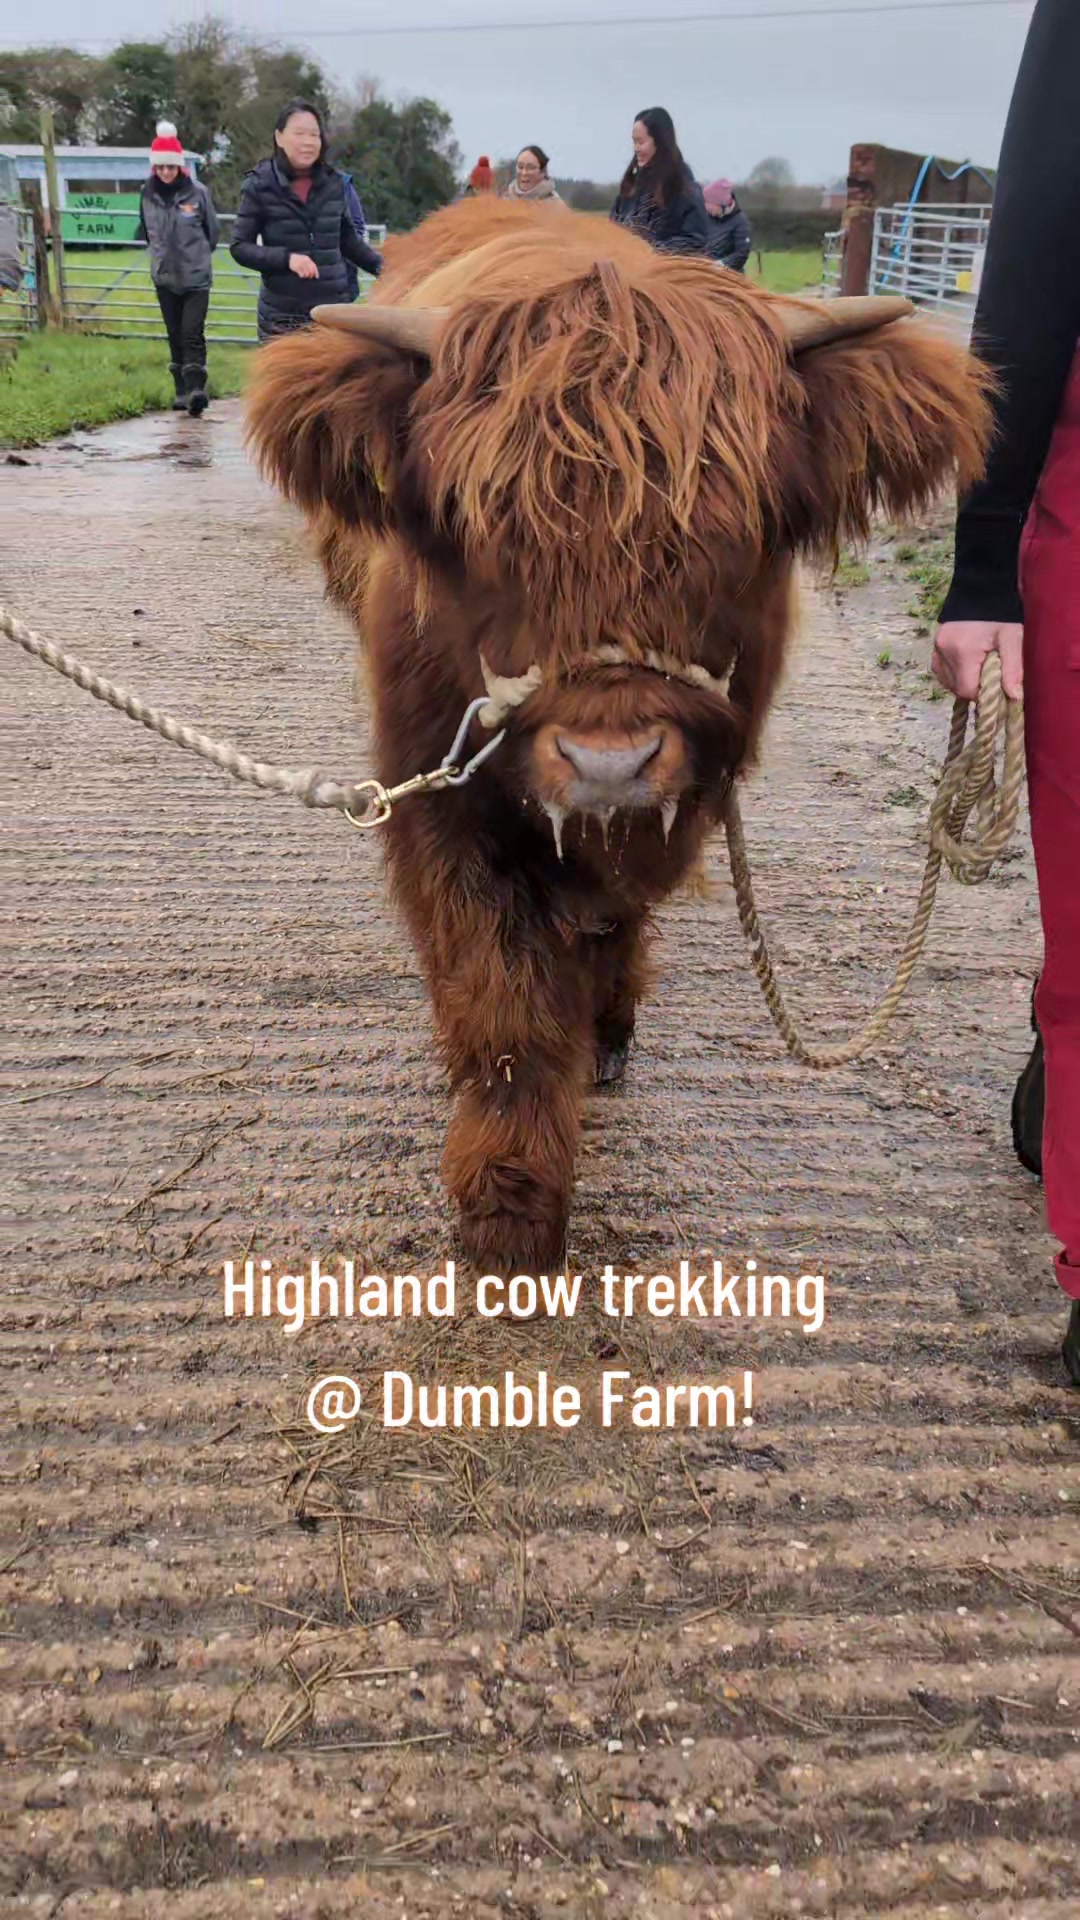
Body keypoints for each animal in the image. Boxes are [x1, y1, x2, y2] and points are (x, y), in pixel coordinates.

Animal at [244, 198, 992, 1272]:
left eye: (742, 533)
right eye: (479, 530)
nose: (608, 764)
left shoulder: (686, 790)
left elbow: (613, 918)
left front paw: (605, 1026)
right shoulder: (436, 796)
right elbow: (500, 999)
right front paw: (510, 1208)